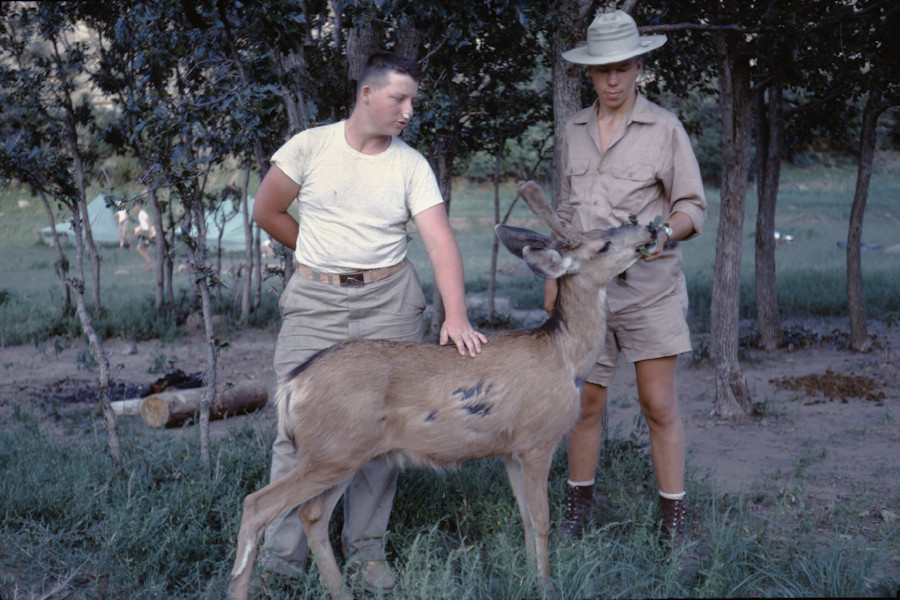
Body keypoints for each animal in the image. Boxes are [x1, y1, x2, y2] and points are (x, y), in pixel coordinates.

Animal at [229, 180, 656, 596]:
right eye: (603, 245)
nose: (650, 230)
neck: (566, 358)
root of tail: (291, 385)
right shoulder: (538, 439)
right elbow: (542, 518)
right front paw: (547, 587)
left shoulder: (510, 449)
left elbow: (525, 518)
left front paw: (531, 579)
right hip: (331, 450)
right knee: (257, 505)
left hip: (345, 452)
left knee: (312, 514)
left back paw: (341, 592)